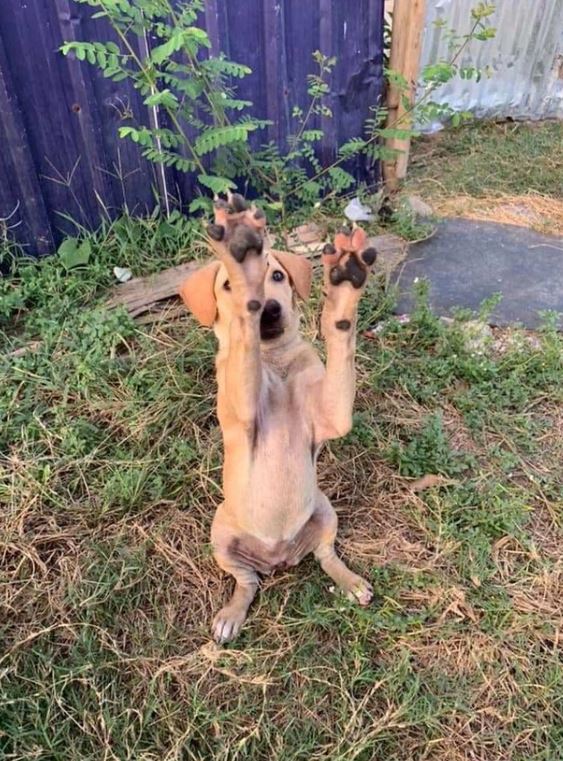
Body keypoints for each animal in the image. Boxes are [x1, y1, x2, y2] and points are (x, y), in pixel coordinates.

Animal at [178, 191, 376, 640]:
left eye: (280, 277)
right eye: (225, 287)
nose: (267, 310)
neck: (275, 362)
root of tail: (279, 557)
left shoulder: (332, 417)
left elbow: (340, 345)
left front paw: (343, 289)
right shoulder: (244, 414)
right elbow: (242, 346)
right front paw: (241, 256)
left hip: (324, 509)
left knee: (325, 555)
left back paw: (350, 582)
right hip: (221, 535)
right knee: (246, 582)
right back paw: (231, 615)